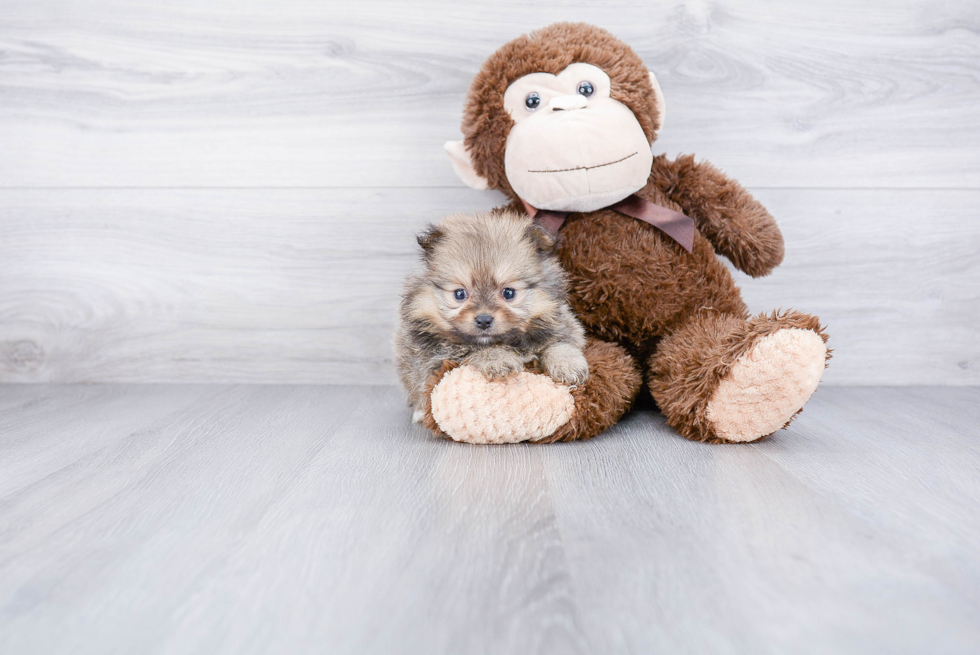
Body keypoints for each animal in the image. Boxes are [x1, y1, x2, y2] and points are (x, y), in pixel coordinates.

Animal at [396, 211, 588, 426]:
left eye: (509, 293)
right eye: (460, 294)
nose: (484, 320)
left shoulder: (563, 324)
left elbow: (560, 344)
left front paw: (568, 365)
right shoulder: (436, 356)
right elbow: (474, 348)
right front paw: (498, 359)